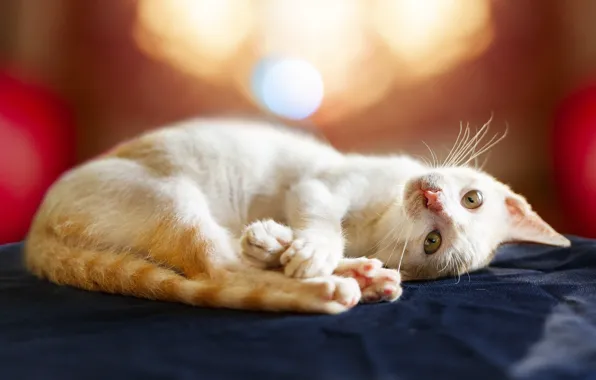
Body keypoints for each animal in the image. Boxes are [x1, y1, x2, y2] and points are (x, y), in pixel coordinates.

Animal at [23, 117, 572, 314]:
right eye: (472, 198)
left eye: (432, 242)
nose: (434, 199)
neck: (380, 218)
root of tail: (34, 237)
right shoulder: (324, 183)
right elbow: (320, 215)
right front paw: (308, 246)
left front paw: (302, 250)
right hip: (169, 193)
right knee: (219, 265)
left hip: (171, 203)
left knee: (219, 270)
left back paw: (349, 281)